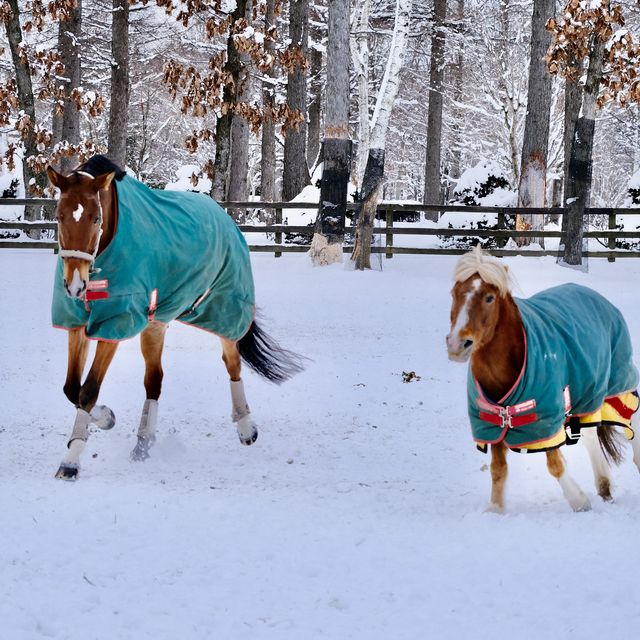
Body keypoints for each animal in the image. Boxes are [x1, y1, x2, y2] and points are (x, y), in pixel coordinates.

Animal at [47, 156, 302, 480]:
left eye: (95, 219)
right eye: (59, 216)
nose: (75, 286)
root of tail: (223, 216)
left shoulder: (114, 325)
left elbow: (87, 391)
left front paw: (72, 459)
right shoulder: (77, 324)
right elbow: (71, 388)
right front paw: (105, 418)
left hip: (224, 309)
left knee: (232, 364)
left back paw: (246, 428)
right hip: (157, 323)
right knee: (154, 381)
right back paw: (143, 444)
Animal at [444, 248, 640, 512]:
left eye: (489, 298)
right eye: (454, 293)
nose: (457, 345)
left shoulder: (544, 421)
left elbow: (555, 464)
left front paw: (579, 502)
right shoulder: (492, 423)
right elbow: (498, 469)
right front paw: (495, 509)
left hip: (618, 384)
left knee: (632, 419)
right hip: (586, 393)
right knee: (590, 434)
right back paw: (604, 487)